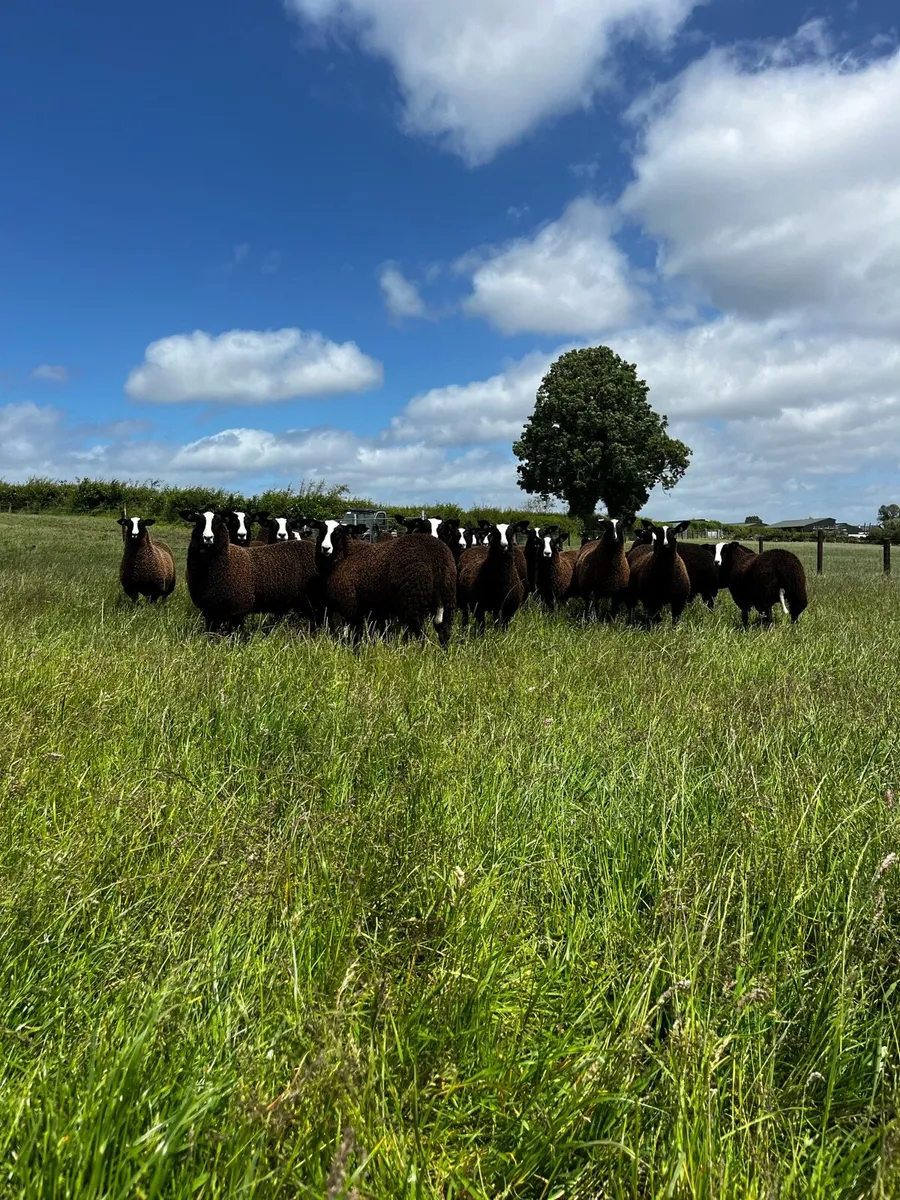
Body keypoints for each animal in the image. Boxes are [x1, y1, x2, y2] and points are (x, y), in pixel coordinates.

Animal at [308, 518, 456, 645]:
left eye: (338, 532)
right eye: (321, 530)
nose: (325, 548)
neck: (343, 557)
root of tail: (436, 557)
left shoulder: (348, 605)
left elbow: (352, 634)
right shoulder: (373, 608)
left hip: (414, 599)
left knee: (422, 635)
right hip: (447, 597)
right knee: (444, 632)